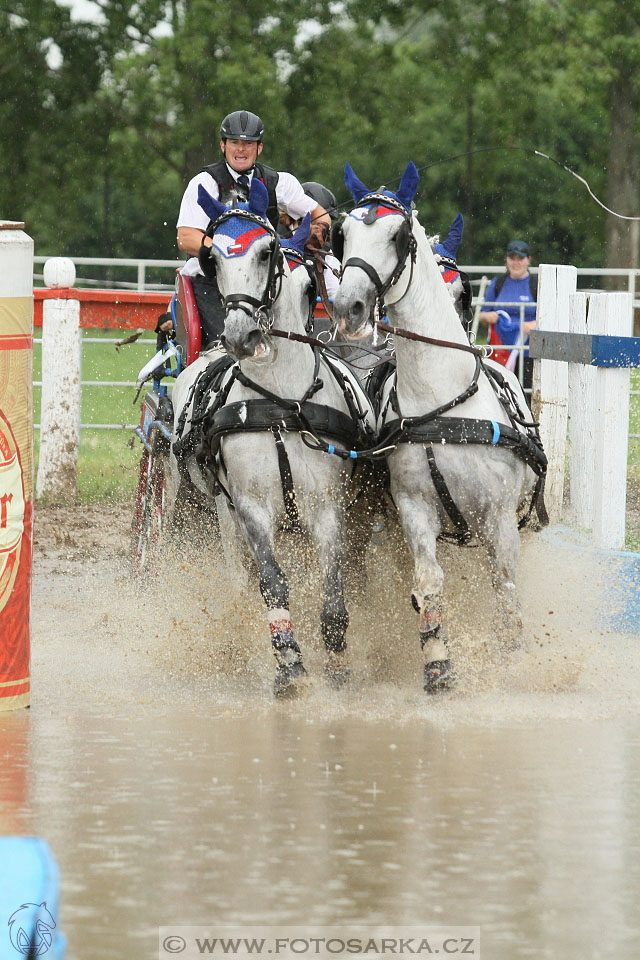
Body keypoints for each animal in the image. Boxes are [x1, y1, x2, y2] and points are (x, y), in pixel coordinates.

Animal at [172, 176, 370, 692]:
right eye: (213, 258)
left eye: (268, 253)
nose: (242, 335)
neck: (281, 402)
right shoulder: (252, 509)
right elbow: (272, 582)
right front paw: (289, 664)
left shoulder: (326, 505)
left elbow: (332, 585)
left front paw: (337, 662)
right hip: (222, 516)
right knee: (241, 579)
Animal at [332, 163, 548, 688]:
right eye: (342, 235)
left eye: (399, 236)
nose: (348, 307)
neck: (441, 402)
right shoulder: (413, 509)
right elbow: (428, 583)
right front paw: (437, 664)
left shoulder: (499, 518)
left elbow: (505, 591)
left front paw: (512, 662)